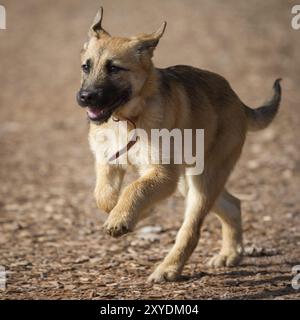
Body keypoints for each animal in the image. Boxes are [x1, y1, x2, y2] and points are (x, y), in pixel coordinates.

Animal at [77, 8, 282, 282]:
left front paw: (123, 216)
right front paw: (132, 212)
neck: (129, 118)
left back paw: (168, 269)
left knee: (191, 230)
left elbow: (135, 188)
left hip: (203, 179)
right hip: (190, 181)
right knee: (233, 204)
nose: (84, 97)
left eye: (114, 68)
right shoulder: (108, 163)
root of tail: (238, 101)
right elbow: (103, 196)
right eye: (86, 66)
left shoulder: (162, 173)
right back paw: (230, 254)